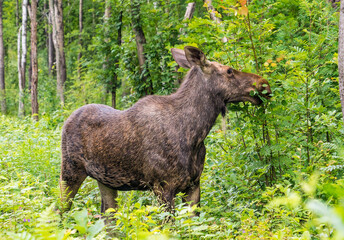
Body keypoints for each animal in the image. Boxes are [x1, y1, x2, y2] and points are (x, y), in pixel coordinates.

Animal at [59, 46, 272, 215]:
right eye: (229, 71)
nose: (264, 83)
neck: (195, 134)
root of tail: (66, 121)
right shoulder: (162, 187)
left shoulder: (194, 185)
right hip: (70, 172)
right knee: (59, 211)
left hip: (106, 181)